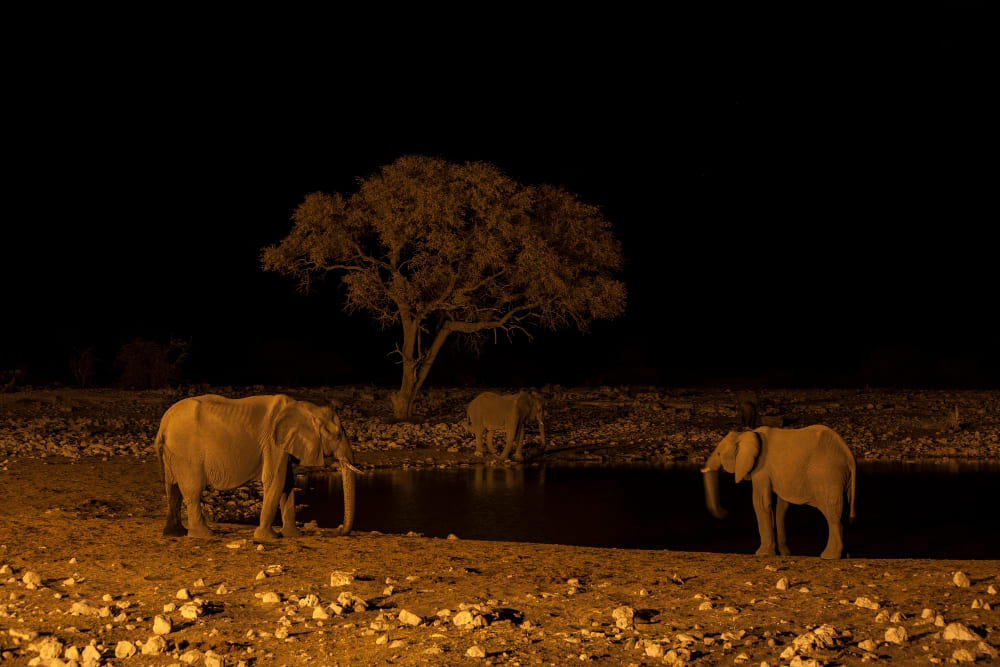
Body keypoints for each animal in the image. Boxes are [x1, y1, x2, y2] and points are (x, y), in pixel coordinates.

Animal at [154, 394, 361, 541]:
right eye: (337, 435)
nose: (338, 529)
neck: (302, 407)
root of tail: (163, 424)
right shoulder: (273, 443)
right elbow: (276, 480)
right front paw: (269, 537)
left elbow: (287, 482)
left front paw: (293, 535)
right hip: (186, 452)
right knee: (192, 490)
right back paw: (204, 534)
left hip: (173, 453)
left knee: (172, 487)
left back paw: (175, 533)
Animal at [701, 425, 856, 559]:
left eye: (719, 454)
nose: (726, 512)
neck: (746, 434)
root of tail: (849, 456)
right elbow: (781, 507)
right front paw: (784, 554)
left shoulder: (761, 468)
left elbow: (761, 502)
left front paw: (762, 553)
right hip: (843, 479)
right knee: (842, 512)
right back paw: (845, 556)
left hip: (828, 476)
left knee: (832, 514)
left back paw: (829, 556)